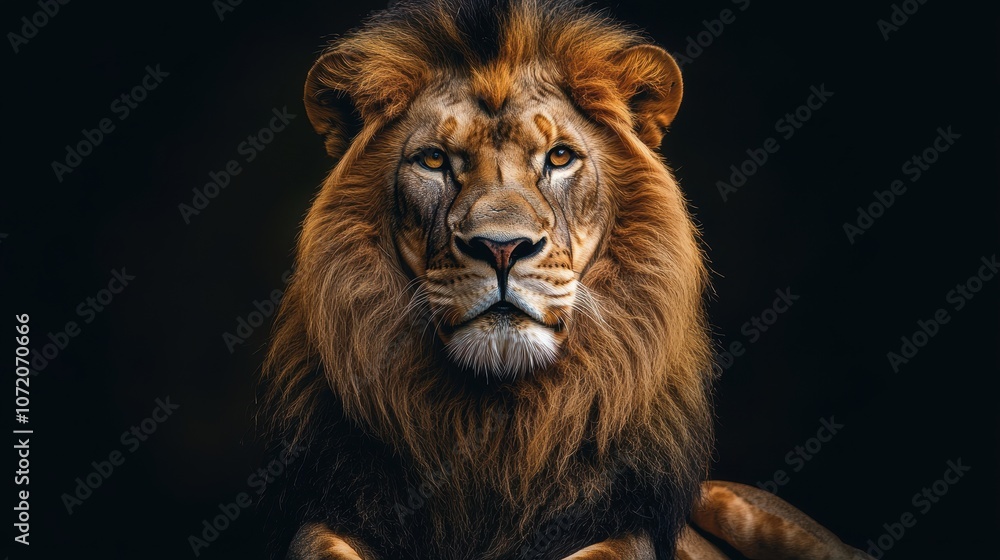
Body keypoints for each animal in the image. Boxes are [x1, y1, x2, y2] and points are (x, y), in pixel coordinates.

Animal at [263, 1, 874, 558]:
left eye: (559, 157)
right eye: (434, 160)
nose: (501, 247)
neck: (495, 420)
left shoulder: (622, 527)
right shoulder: (331, 518)